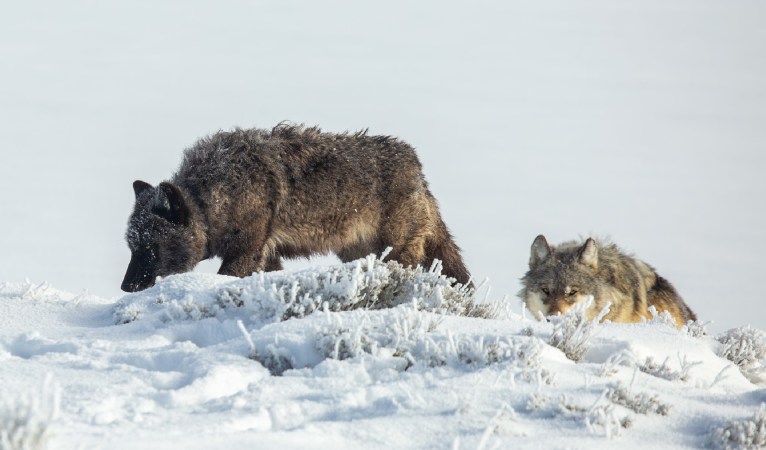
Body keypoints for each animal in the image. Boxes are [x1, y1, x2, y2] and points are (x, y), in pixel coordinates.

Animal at [121, 124, 472, 292]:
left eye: (151, 248)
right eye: (132, 247)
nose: (126, 287)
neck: (212, 199)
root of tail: (418, 168)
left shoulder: (245, 252)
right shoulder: (266, 256)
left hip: (395, 253)